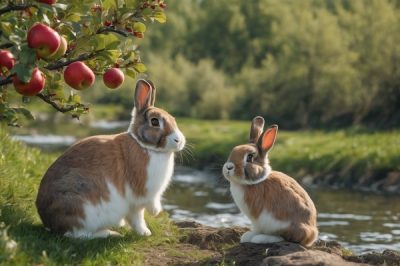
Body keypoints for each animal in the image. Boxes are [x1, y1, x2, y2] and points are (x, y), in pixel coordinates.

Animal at [35, 79, 185, 239]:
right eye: (155, 122)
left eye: (173, 119)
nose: (179, 141)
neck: (144, 145)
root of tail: (49, 223)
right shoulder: (140, 197)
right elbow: (138, 217)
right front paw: (146, 231)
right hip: (83, 209)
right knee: (78, 234)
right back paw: (110, 233)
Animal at [222, 117, 318, 246]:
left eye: (250, 157)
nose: (228, 167)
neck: (256, 181)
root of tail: (311, 235)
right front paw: (247, 235)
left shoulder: (258, 218)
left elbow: (258, 229)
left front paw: (250, 236)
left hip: (280, 224)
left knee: (285, 237)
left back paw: (262, 238)